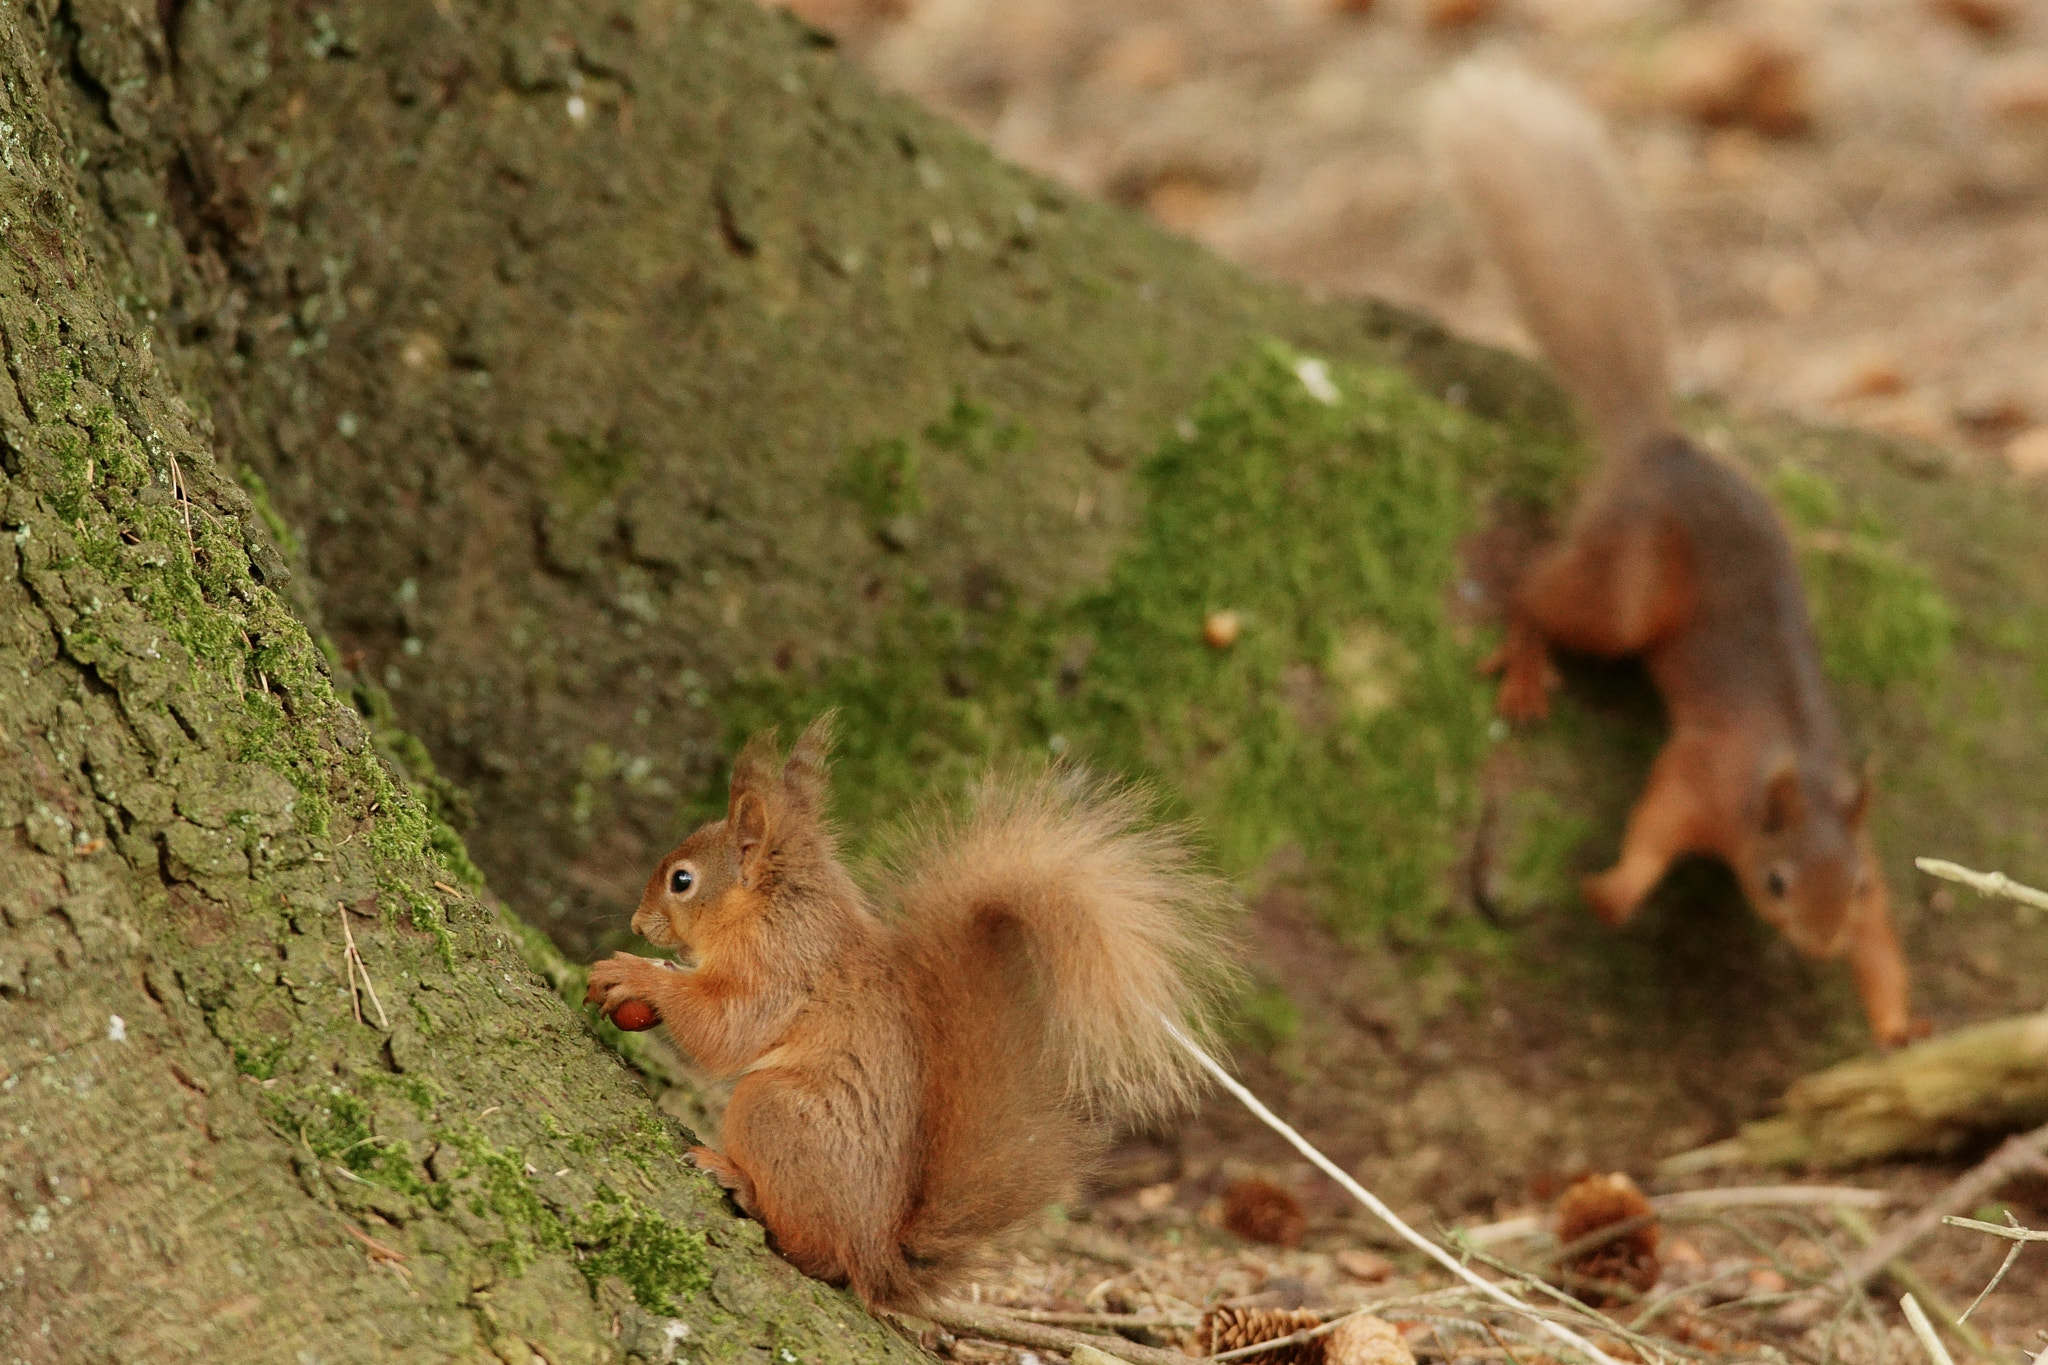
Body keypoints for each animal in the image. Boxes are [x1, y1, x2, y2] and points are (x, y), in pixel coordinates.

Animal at [585, 716, 1236, 1309]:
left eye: (682, 880)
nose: (638, 925)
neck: (776, 906)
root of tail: (878, 1253)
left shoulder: (781, 970)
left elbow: (725, 1032)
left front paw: (636, 974)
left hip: (772, 1111)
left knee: (817, 1254)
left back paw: (740, 1183)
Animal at [1425, 63, 1916, 1047]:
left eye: (1857, 885)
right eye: (1773, 880)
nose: (1819, 945)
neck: (1798, 780)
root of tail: (1656, 448)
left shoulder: (1868, 851)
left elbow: (1888, 944)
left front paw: (1893, 1021)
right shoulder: (1705, 776)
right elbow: (1653, 822)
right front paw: (1613, 894)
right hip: (1625, 588)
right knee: (1536, 588)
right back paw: (1527, 664)